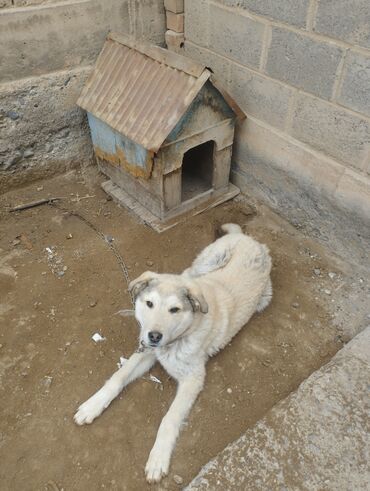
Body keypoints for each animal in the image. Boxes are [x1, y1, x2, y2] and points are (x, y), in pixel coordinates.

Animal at [74, 224, 272, 484]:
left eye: (174, 309)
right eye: (149, 303)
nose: (153, 336)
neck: (178, 337)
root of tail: (251, 240)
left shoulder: (193, 379)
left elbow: (169, 418)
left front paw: (158, 458)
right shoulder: (146, 352)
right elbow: (118, 377)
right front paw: (92, 405)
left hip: (262, 297)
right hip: (206, 262)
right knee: (189, 274)